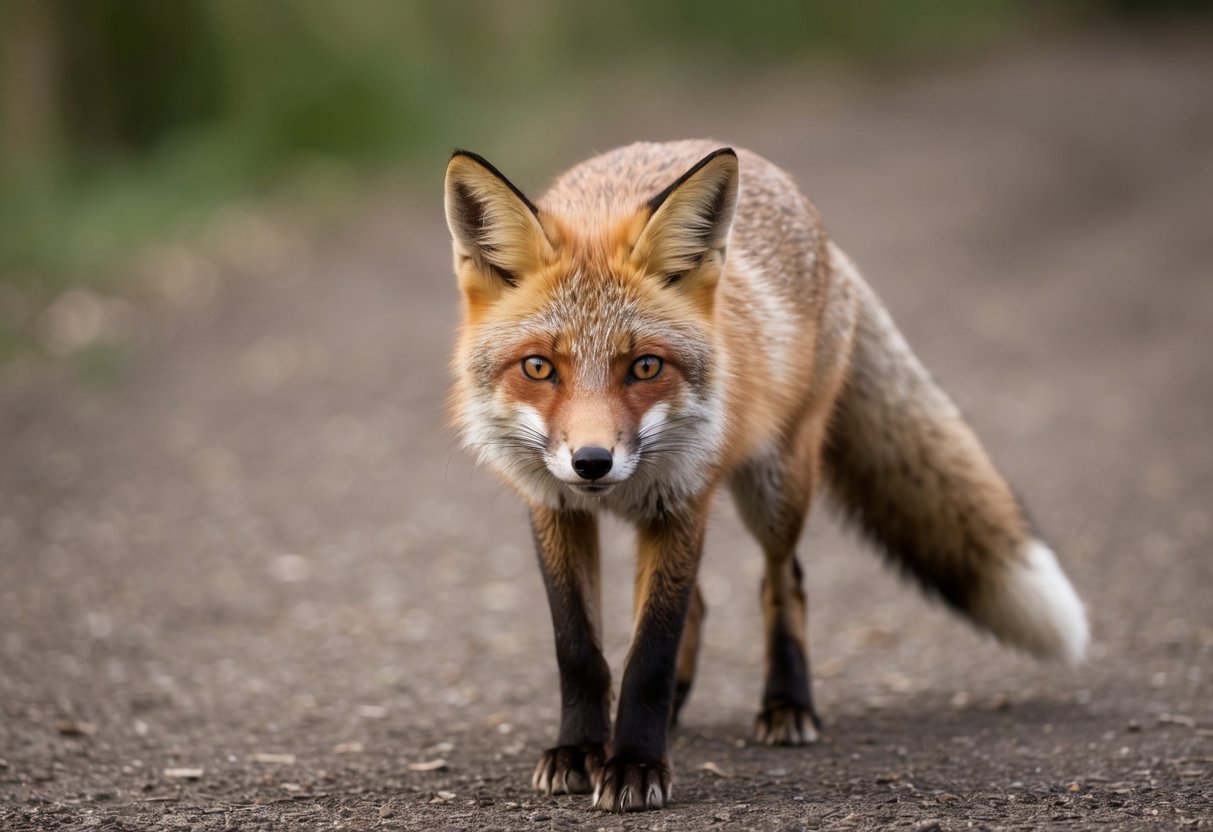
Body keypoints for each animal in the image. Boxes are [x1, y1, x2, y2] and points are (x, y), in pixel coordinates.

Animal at [442, 140, 1089, 813]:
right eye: (538, 367)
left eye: (645, 366)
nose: (592, 461)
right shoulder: (555, 508)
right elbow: (579, 650)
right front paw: (579, 752)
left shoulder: (684, 500)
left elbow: (650, 653)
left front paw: (636, 764)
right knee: (702, 604)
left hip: (777, 488)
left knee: (784, 582)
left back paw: (787, 704)